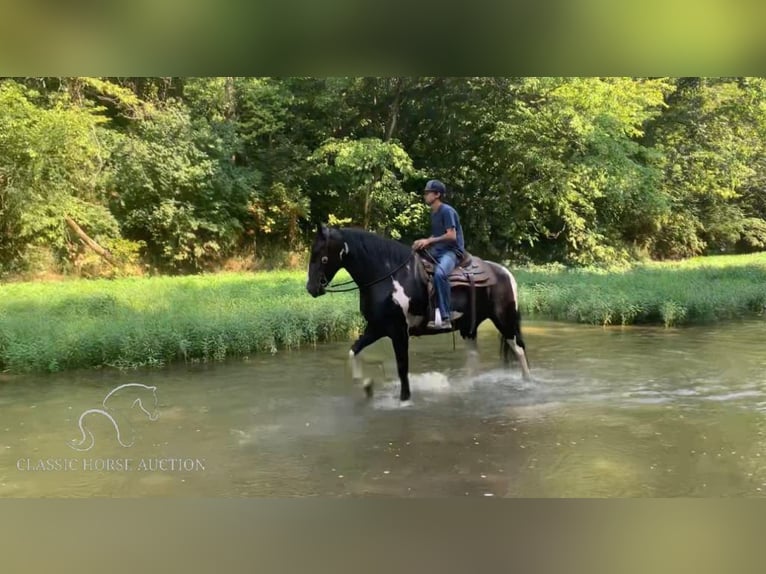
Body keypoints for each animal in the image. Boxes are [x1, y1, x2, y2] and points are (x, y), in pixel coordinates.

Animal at [308, 224, 536, 404]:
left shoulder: (399, 331)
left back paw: (527, 384)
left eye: (322, 255)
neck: (389, 276)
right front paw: (366, 384)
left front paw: (404, 400)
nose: (311, 288)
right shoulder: (377, 327)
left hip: (504, 321)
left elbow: (402, 368)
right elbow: (353, 350)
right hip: (469, 328)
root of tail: (506, 273)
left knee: (519, 350)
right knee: (474, 357)